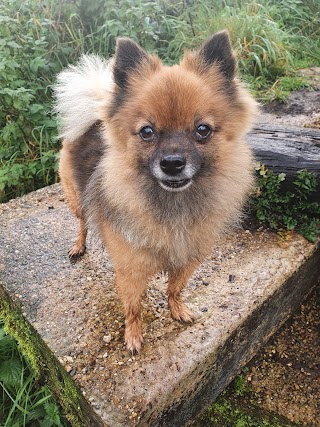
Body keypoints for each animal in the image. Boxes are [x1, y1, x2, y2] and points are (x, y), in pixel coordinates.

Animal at [53, 29, 256, 352]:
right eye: (147, 132)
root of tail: (91, 121)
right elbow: (133, 307)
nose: (172, 163)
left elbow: (175, 288)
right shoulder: (131, 270)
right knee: (82, 223)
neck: (174, 206)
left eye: (202, 130)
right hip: (75, 199)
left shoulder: (189, 258)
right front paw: (133, 336)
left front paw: (177, 310)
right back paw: (79, 246)